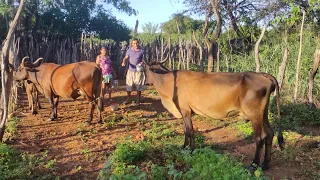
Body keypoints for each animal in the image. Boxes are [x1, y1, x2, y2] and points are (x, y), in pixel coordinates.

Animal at [144, 60, 284, 172]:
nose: (145, 82)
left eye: (145, 70)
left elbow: (190, 131)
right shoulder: (184, 111)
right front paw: (184, 147)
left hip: (254, 114)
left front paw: (191, 150)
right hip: (263, 113)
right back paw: (265, 164)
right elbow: (185, 130)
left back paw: (253, 165)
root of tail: (262, 75)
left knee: (259, 138)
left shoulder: (185, 111)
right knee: (269, 134)